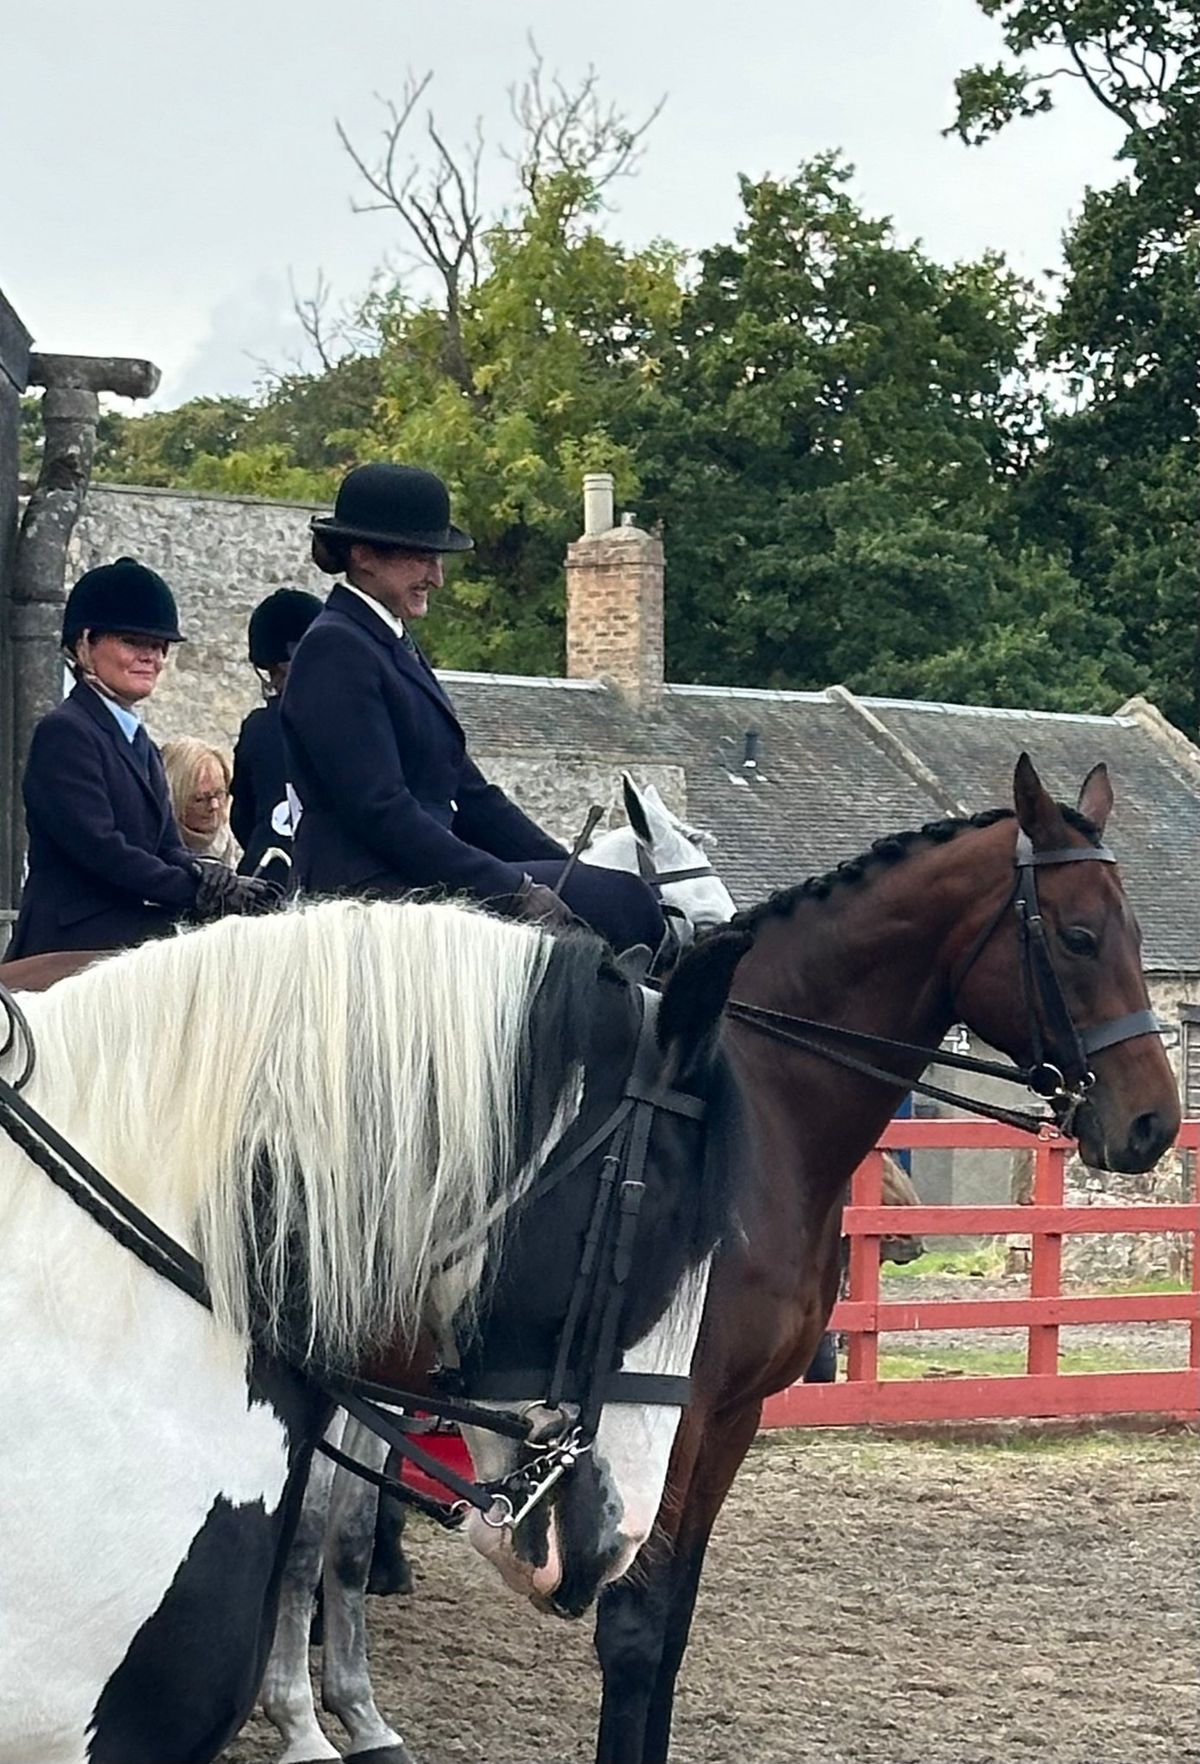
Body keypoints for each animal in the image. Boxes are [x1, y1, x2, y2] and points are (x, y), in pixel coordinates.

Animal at [596, 758, 1178, 1764]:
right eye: (1078, 936)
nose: (1155, 1123)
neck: (755, 1114)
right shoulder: (665, 1408)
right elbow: (634, 1628)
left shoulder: (732, 1415)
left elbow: (671, 1624)